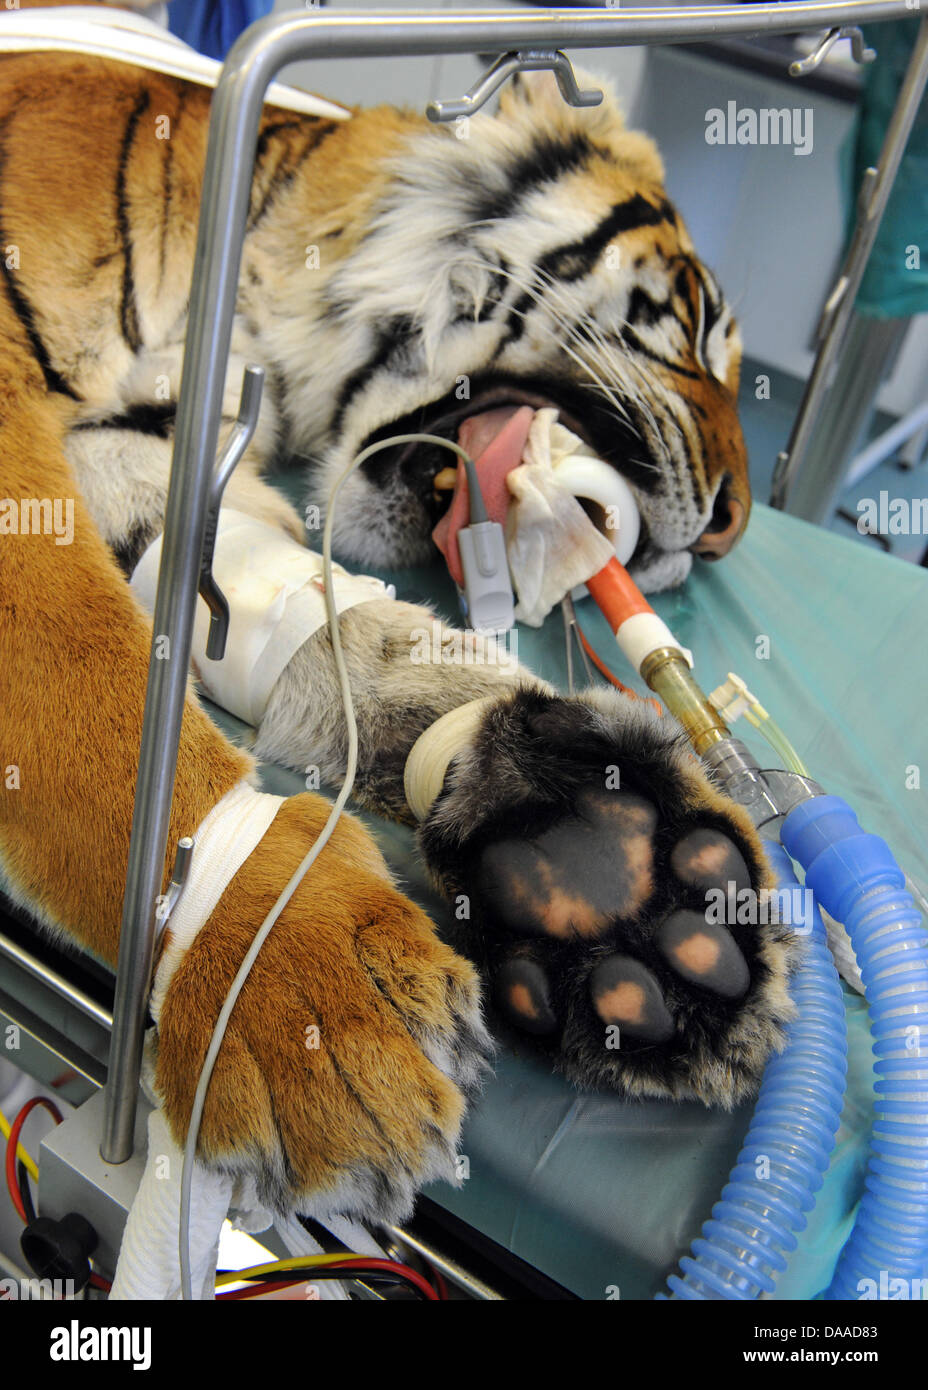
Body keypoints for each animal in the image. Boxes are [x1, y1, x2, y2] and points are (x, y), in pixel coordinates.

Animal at [0, 46, 800, 1228]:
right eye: (698, 330)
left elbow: (335, 640)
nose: (727, 534)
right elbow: (86, 681)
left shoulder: (144, 456)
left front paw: (607, 869)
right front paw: (299, 992)